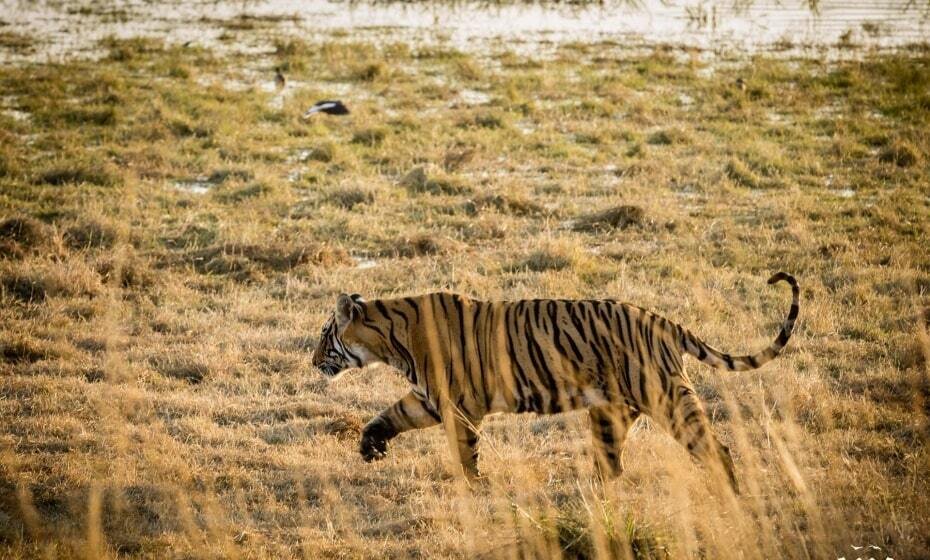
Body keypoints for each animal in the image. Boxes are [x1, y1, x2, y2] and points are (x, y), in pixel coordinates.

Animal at [312, 272, 796, 490]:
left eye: (323, 335)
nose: (312, 360)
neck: (392, 341)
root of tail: (664, 321)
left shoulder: (458, 405)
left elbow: (465, 451)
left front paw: (474, 486)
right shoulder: (427, 399)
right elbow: (388, 416)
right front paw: (370, 447)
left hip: (667, 398)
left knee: (715, 447)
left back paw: (730, 493)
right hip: (610, 411)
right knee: (612, 463)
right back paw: (593, 492)